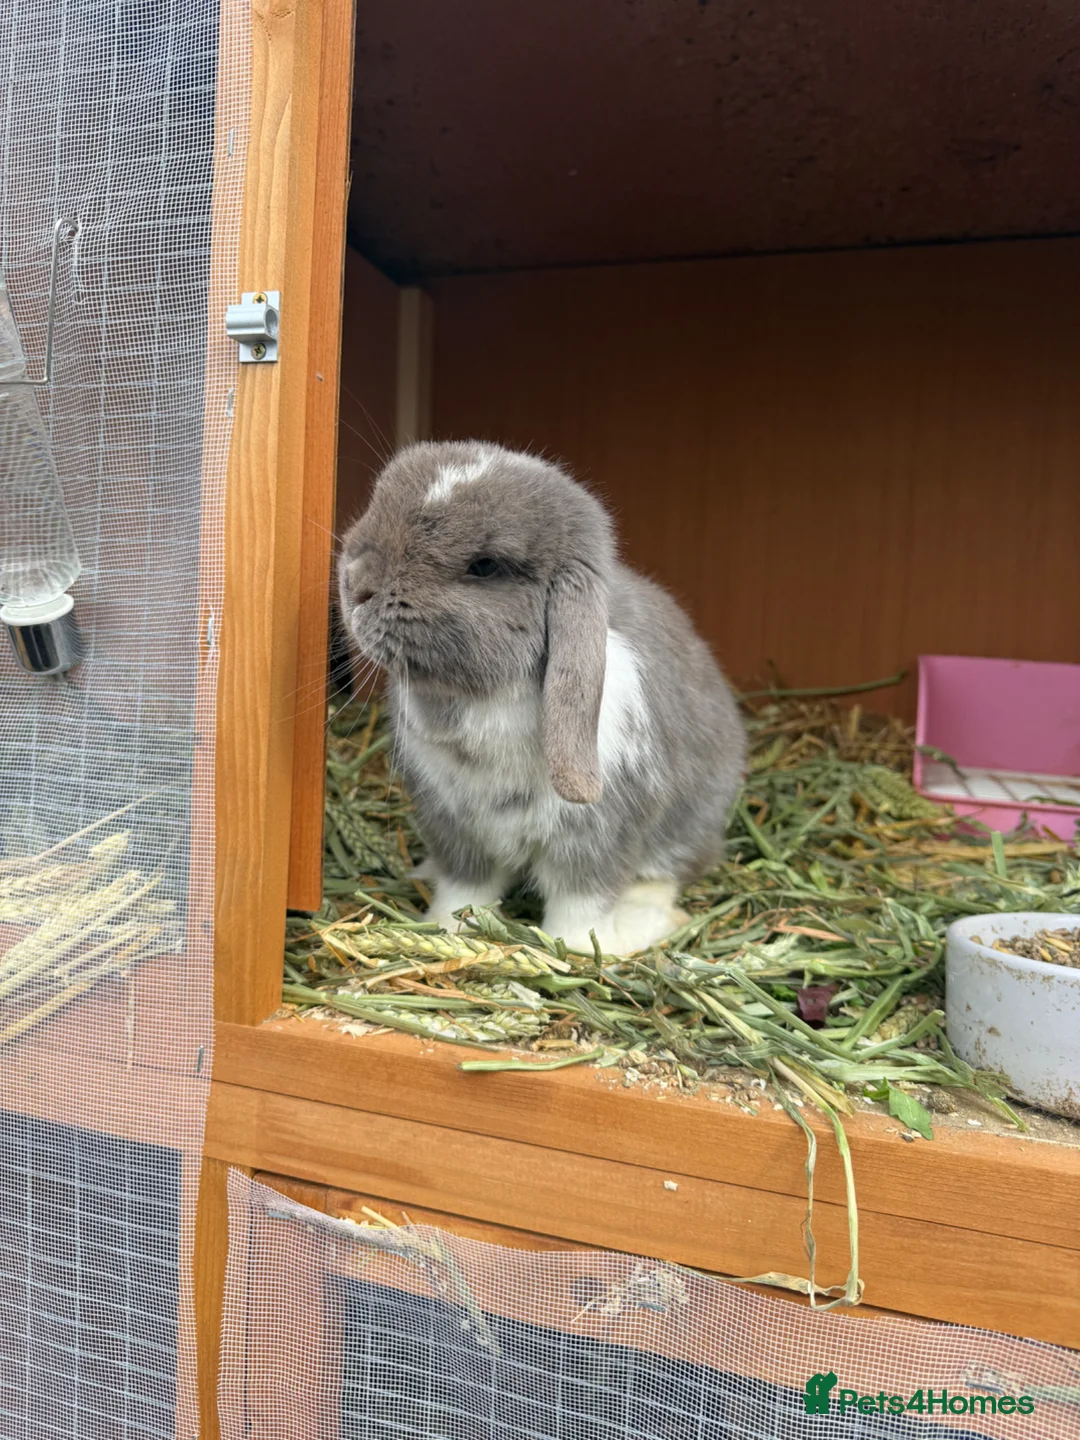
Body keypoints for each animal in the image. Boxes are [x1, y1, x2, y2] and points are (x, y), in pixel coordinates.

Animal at [337, 441, 747, 955]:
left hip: (689, 824)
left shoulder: (595, 838)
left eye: (485, 566)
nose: (356, 582)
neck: (485, 698)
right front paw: (449, 930)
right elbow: (464, 890)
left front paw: (577, 950)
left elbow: (581, 905)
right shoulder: (455, 831)